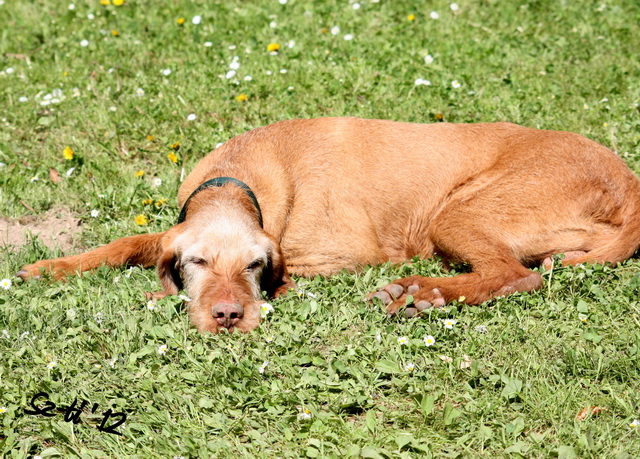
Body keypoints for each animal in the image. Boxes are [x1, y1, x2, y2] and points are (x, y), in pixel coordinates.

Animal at [17, 118, 640, 333]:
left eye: (254, 266)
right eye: (196, 262)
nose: (228, 317)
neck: (241, 173)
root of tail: (628, 181)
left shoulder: (332, 257)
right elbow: (127, 241)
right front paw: (50, 266)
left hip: (456, 212)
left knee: (516, 274)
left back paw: (421, 294)